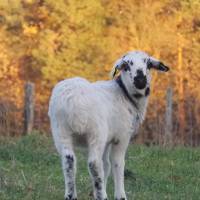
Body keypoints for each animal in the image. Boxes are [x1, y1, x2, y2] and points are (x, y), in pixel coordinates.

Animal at [48, 50, 169, 199]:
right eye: (126, 65)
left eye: (148, 63)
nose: (140, 80)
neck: (125, 94)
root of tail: (73, 99)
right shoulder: (121, 137)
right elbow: (117, 163)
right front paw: (120, 195)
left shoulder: (107, 140)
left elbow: (106, 166)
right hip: (96, 132)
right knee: (94, 163)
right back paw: (101, 195)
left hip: (60, 131)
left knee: (69, 161)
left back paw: (71, 195)